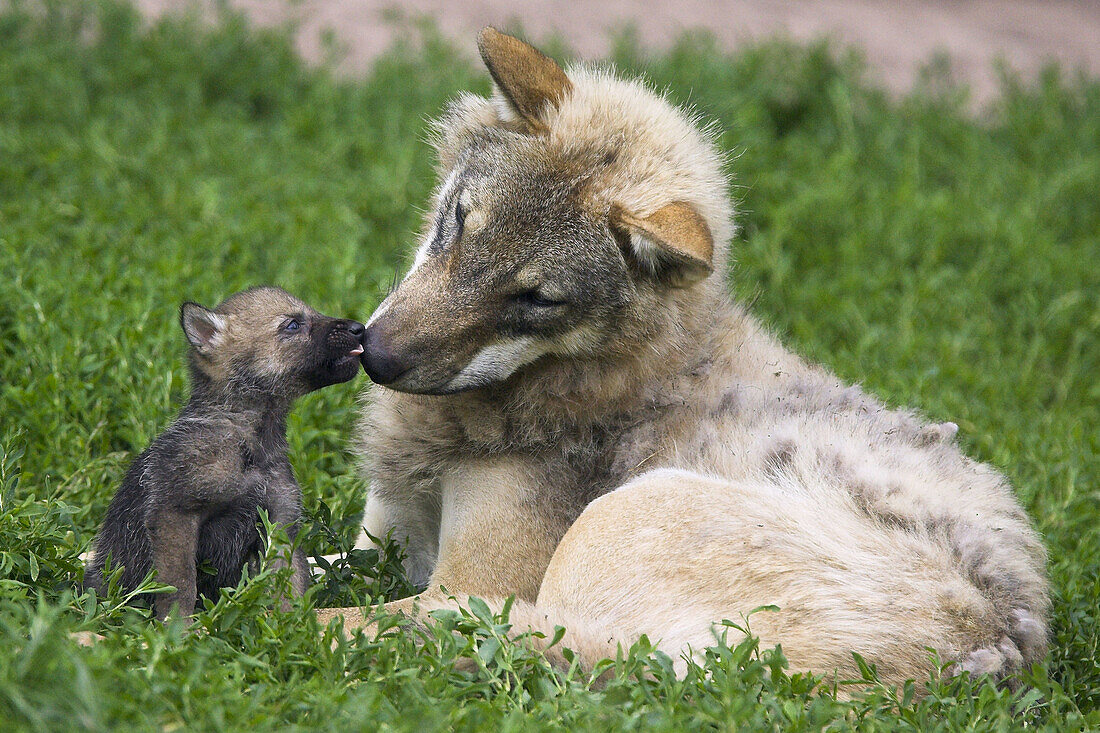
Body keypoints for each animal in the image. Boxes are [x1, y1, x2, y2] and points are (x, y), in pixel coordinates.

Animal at [321, 28, 1047, 686]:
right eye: (460, 222)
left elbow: (328, 615)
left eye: (537, 298)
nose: (374, 354)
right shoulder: (378, 539)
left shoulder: (464, 587)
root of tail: (997, 646)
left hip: (613, 526)